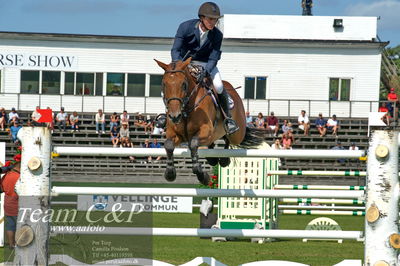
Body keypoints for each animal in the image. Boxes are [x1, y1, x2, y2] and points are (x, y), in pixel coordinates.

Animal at [155, 57, 264, 185]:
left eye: (184, 85)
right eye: (164, 84)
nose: (175, 116)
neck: (187, 108)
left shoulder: (206, 131)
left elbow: (193, 144)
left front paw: (202, 176)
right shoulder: (174, 134)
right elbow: (168, 145)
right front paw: (170, 173)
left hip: (237, 135)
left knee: (229, 140)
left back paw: (224, 158)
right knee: (212, 144)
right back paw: (212, 159)